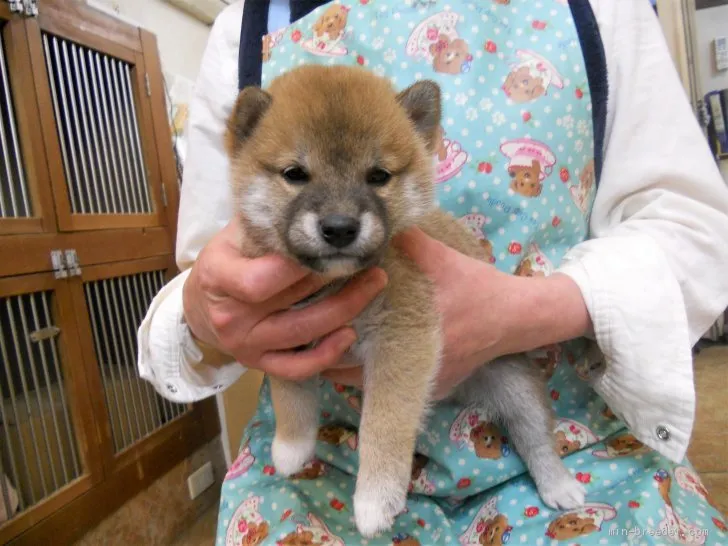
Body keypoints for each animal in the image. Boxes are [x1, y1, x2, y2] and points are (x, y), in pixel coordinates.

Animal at [225, 65, 584, 536]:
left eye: (378, 176)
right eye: (294, 173)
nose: (339, 228)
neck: (338, 282)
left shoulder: (401, 338)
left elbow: (385, 423)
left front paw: (375, 498)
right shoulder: (284, 328)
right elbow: (291, 391)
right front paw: (291, 444)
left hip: (515, 384)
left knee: (537, 437)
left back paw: (558, 484)